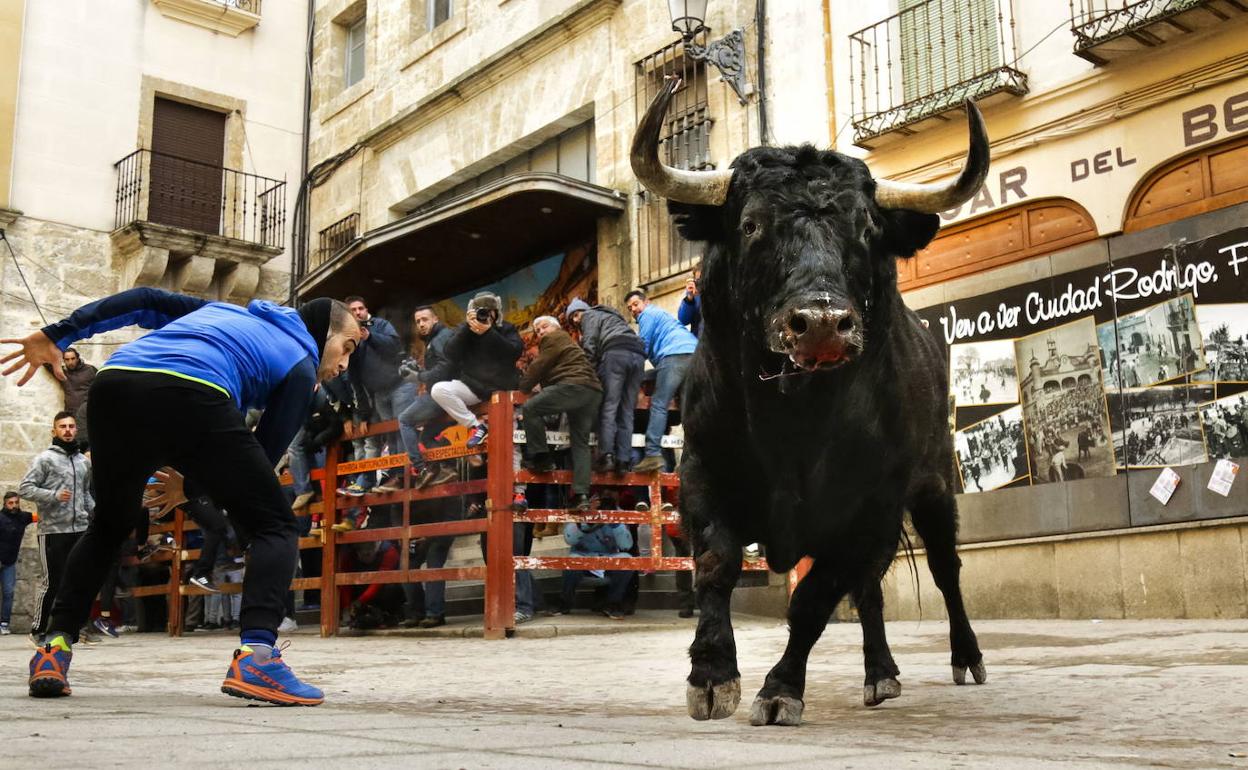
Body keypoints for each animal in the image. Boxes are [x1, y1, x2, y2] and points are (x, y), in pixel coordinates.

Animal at [633, 77, 993, 728]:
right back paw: (880, 674)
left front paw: (779, 690)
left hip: (933, 486)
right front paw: (712, 676)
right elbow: (717, 564)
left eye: (868, 230)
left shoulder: (869, 505)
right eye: (751, 224)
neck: (793, 423)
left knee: (944, 569)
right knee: (872, 587)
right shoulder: (702, 473)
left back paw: (965, 658)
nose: (822, 324)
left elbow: (814, 598)